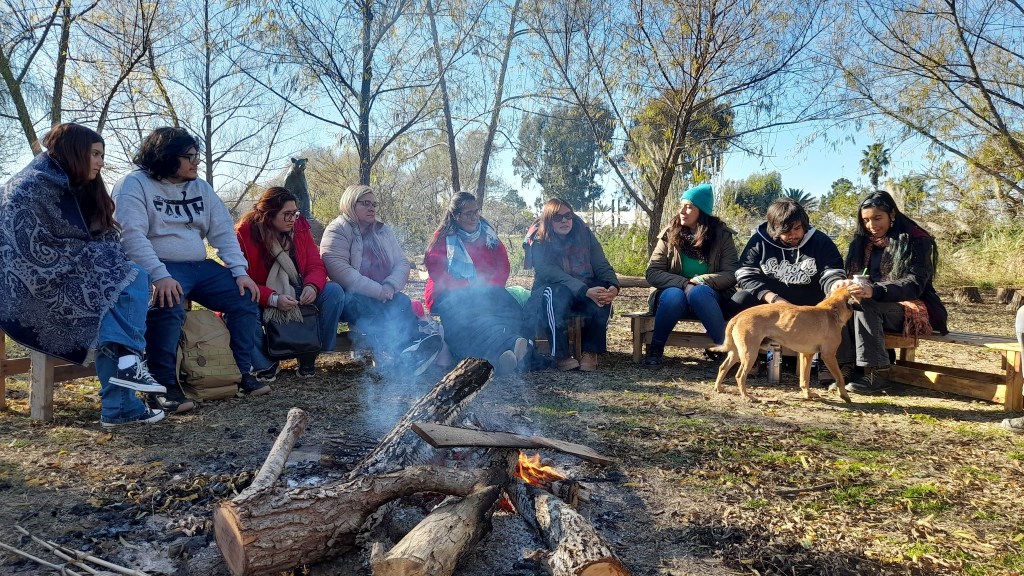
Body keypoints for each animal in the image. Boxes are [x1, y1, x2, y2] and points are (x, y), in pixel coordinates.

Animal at [710, 287, 861, 403]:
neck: (832, 310)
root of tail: (738, 316)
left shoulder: (807, 355)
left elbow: (804, 379)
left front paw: (808, 394)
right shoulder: (829, 355)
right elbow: (840, 378)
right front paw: (844, 395)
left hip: (737, 353)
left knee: (723, 367)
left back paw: (719, 387)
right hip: (749, 354)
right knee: (740, 376)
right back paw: (746, 396)